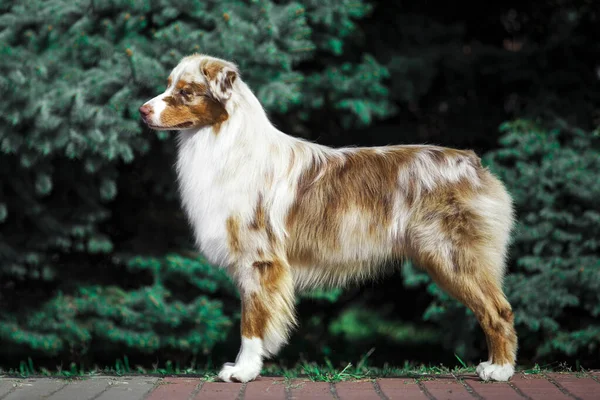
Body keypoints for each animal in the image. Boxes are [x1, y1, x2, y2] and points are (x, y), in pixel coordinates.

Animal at [139, 54, 516, 382]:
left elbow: (251, 321)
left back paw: (499, 370)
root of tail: (472, 162)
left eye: (186, 92)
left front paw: (243, 371)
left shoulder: (259, 259)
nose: (142, 110)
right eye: (169, 85)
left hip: (451, 254)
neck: (224, 142)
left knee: (497, 309)